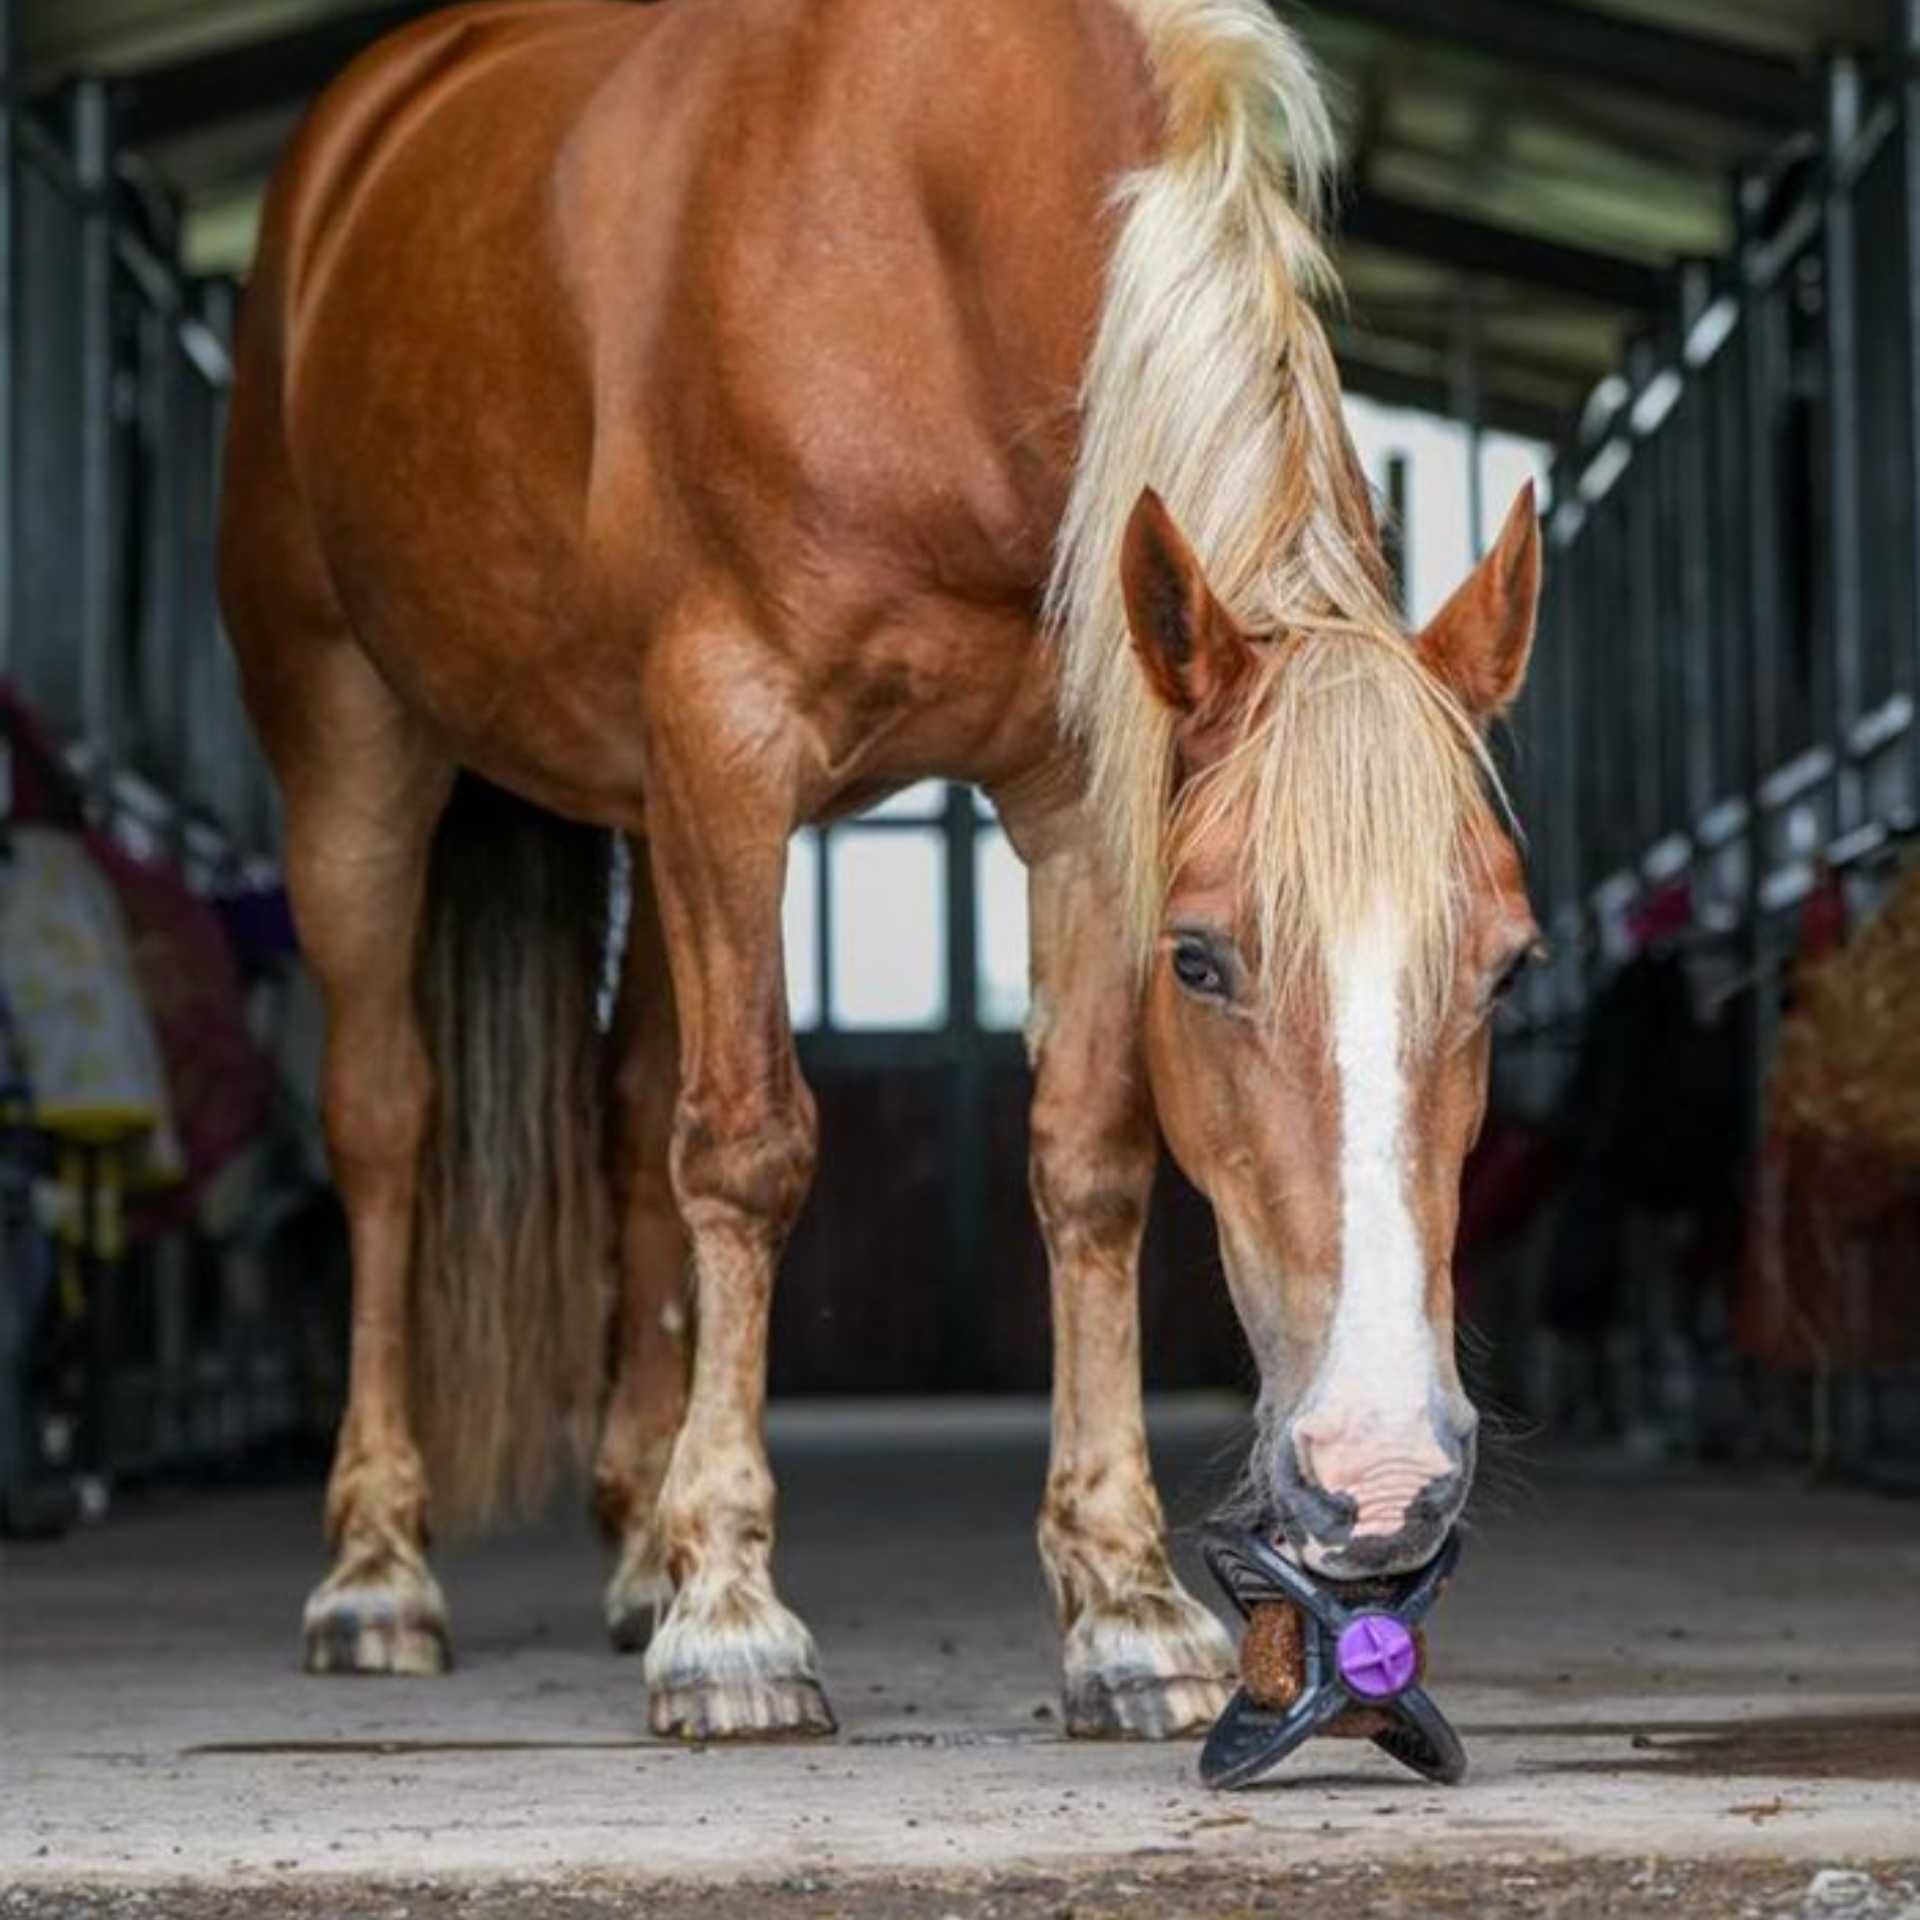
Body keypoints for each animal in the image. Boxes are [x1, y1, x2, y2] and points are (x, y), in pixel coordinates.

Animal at [219, 0, 1544, 1742]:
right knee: (386, 1129)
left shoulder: (1072, 788)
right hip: (355, 752)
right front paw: (731, 1623)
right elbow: (749, 1151)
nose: (1382, 1477)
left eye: (1509, 964)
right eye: (1202, 958)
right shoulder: (731, 741)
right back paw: (378, 1572)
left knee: (630, 1112)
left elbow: (1087, 1165)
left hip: (641, 809)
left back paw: (635, 1547)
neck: (925, 234)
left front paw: (1125, 1611)